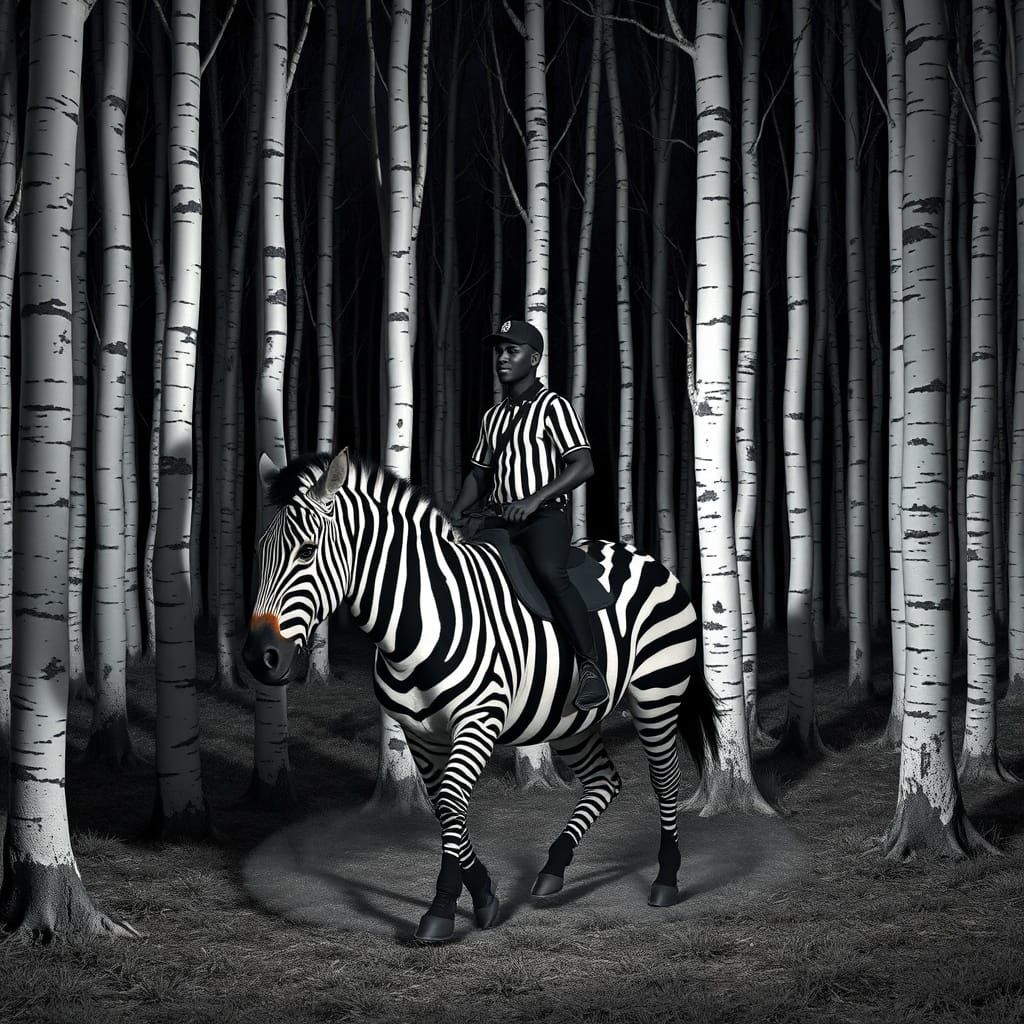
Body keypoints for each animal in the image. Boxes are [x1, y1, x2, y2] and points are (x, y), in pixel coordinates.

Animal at [242, 449, 720, 943]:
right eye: (258, 552)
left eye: (306, 551)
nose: (260, 658)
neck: (423, 615)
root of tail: (645, 556)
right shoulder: (420, 733)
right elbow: (443, 809)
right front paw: (484, 895)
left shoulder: (478, 720)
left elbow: (454, 802)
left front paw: (442, 909)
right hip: (571, 717)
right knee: (606, 780)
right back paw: (553, 869)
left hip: (657, 692)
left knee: (664, 781)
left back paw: (666, 881)